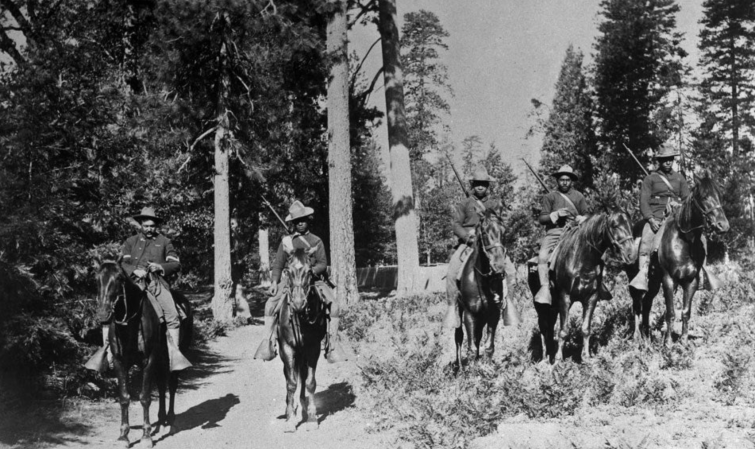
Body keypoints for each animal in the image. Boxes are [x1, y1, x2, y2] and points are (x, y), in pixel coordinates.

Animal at [92, 260, 192, 446]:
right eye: (97, 279)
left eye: (119, 278)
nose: (103, 314)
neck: (130, 324)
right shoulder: (120, 362)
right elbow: (124, 398)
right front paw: (123, 436)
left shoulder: (148, 360)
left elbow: (145, 398)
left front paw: (146, 436)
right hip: (160, 359)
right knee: (161, 385)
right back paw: (161, 419)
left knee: (172, 384)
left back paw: (170, 421)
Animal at [276, 248, 326, 430]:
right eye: (288, 271)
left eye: (309, 272)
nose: (298, 303)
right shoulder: (287, 348)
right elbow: (291, 382)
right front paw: (290, 419)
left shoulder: (313, 348)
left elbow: (310, 382)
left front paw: (311, 418)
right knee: (288, 375)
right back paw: (290, 409)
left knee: (303, 376)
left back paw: (303, 405)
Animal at [452, 206, 516, 368]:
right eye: (485, 232)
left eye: (503, 231)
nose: (498, 267)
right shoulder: (469, 314)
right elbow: (471, 347)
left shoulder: (494, 313)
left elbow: (488, 346)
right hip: (459, 311)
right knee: (459, 337)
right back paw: (459, 367)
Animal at [532, 210, 636, 360]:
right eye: (615, 225)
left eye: (630, 225)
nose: (632, 255)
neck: (582, 260)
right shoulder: (565, 297)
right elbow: (564, 331)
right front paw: (558, 360)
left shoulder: (591, 298)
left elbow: (586, 329)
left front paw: (586, 357)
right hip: (541, 306)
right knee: (544, 327)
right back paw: (545, 358)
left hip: (554, 306)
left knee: (549, 328)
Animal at [628, 170, 732, 344]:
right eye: (704, 196)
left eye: (719, 195)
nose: (722, 226)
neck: (684, 242)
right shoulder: (668, 280)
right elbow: (670, 312)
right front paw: (668, 343)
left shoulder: (691, 281)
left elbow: (685, 312)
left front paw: (683, 341)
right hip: (637, 281)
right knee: (637, 304)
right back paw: (637, 336)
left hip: (654, 283)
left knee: (647, 303)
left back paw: (647, 335)